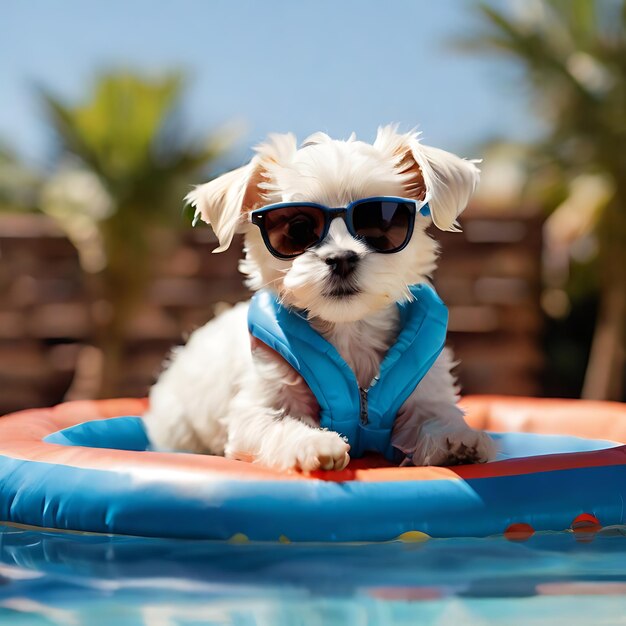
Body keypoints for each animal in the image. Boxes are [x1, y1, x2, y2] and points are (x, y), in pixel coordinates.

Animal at [144, 125, 494, 468]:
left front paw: (456, 440)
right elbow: (279, 425)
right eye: (297, 228)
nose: (341, 258)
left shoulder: (426, 392)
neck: (349, 332)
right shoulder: (260, 403)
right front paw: (314, 443)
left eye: (380, 222)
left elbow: (436, 417)